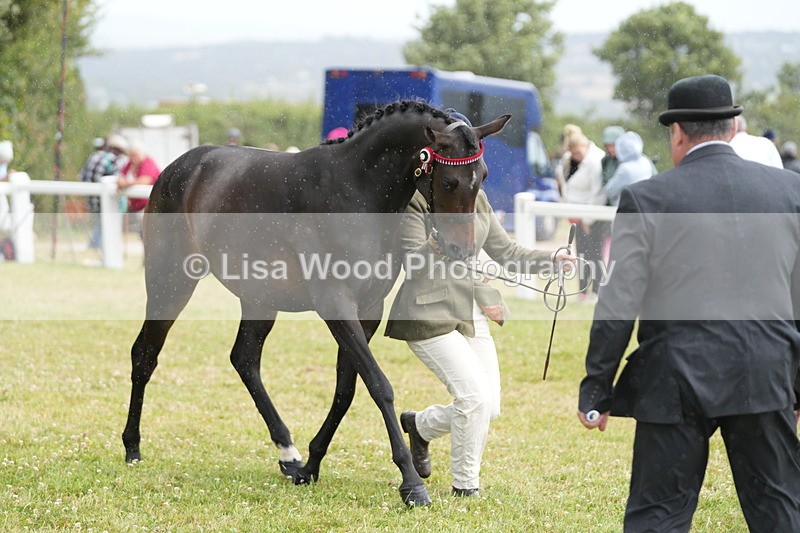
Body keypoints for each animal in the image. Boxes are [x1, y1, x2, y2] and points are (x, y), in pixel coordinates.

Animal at [121, 100, 510, 506]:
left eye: (482, 175)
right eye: (449, 181)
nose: (461, 249)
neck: (356, 191)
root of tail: (178, 167)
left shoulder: (368, 310)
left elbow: (346, 390)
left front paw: (310, 465)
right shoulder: (335, 305)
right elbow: (379, 385)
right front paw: (411, 483)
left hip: (259, 298)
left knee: (244, 360)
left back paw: (288, 454)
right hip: (171, 282)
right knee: (145, 354)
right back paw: (132, 446)